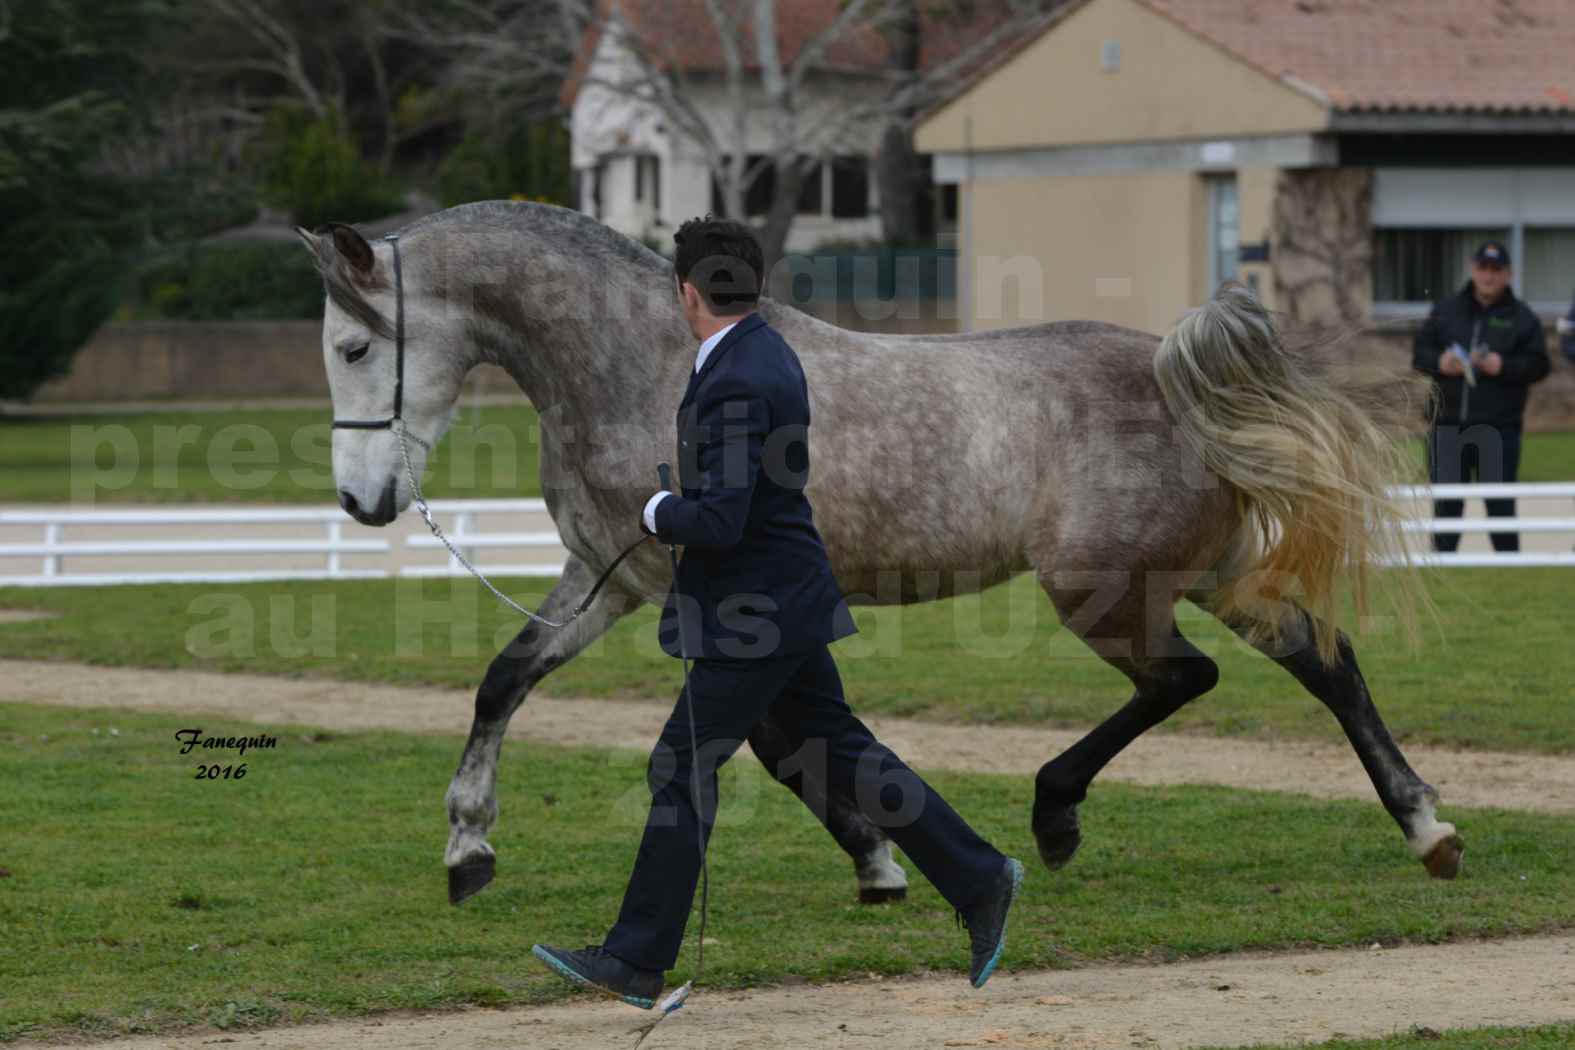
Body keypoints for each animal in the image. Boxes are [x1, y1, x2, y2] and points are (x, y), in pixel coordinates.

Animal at [297, 201, 1461, 906]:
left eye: (354, 346)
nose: (362, 502)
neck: (647, 366)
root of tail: (1172, 368)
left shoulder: (702, 595)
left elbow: (771, 741)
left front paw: (880, 861)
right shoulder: (612, 578)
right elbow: (505, 681)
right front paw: (468, 850)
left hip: (1103, 592)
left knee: (1187, 678)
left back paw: (1055, 815)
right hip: (1200, 574)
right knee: (1321, 661)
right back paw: (1426, 827)